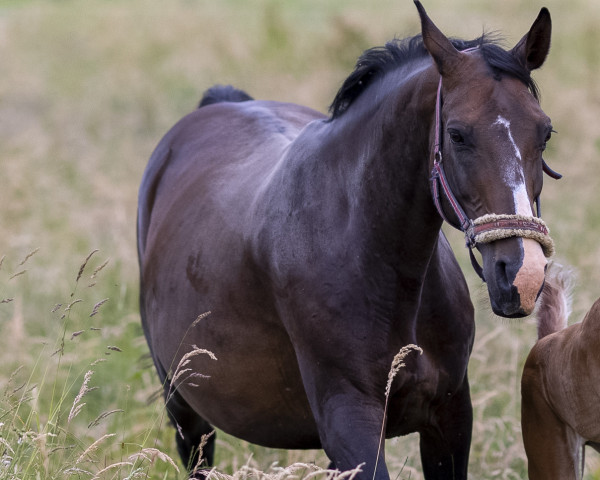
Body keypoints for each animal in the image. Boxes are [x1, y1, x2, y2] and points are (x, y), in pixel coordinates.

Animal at [138, 1, 556, 478]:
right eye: (457, 134)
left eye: (545, 133)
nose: (522, 275)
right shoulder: (350, 423)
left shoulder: (450, 417)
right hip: (185, 409)